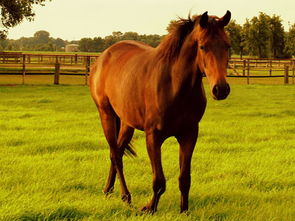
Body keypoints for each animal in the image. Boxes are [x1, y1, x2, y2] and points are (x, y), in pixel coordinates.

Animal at [89, 10, 232, 212]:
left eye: (227, 45)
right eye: (203, 46)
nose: (221, 89)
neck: (174, 86)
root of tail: (102, 58)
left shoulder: (189, 135)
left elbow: (184, 179)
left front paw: (184, 211)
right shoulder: (153, 137)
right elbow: (159, 181)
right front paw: (149, 208)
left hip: (126, 123)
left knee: (116, 151)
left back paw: (108, 190)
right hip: (106, 114)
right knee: (116, 155)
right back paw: (126, 197)